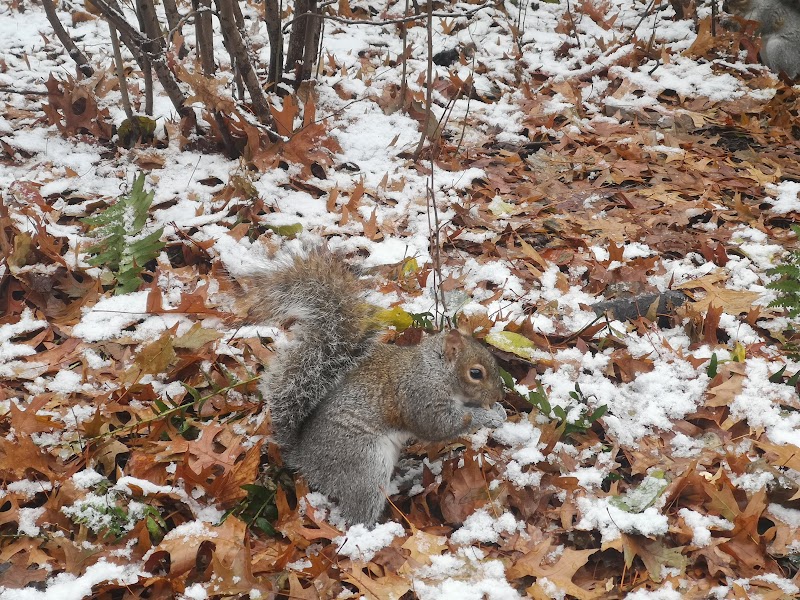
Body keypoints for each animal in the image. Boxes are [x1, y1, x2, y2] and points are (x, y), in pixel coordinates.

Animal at [245, 246, 506, 524]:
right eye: (475, 373)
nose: (499, 395)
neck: (435, 369)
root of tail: (304, 461)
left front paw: (498, 411)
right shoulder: (420, 393)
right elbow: (440, 425)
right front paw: (487, 417)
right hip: (364, 463)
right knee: (358, 511)